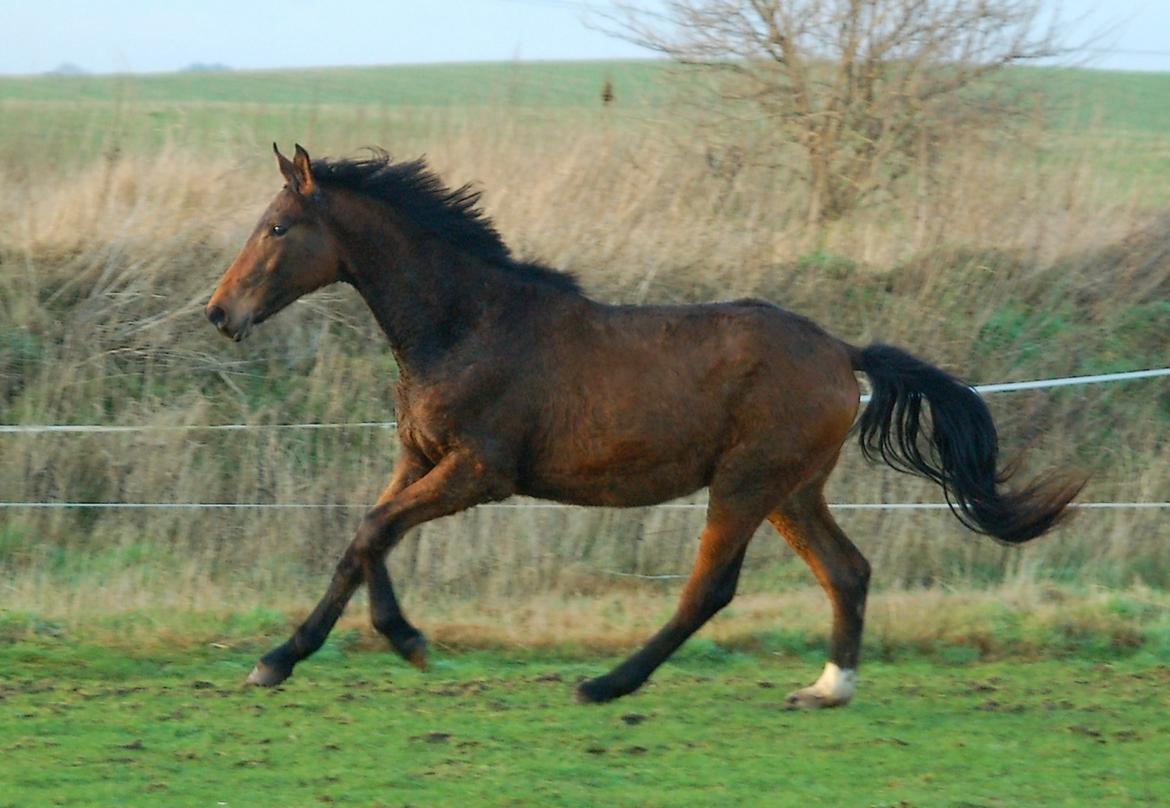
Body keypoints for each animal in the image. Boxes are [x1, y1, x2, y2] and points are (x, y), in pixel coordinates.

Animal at [205, 145, 1081, 706]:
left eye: (277, 228)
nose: (219, 313)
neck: (464, 323)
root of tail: (841, 351)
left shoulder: (479, 473)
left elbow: (370, 533)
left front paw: (327, 652)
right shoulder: (417, 459)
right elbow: (367, 540)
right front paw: (338, 649)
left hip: (746, 484)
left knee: (710, 588)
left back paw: (606, 684)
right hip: (793, 491)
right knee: (849, 571)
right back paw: (828, 689)